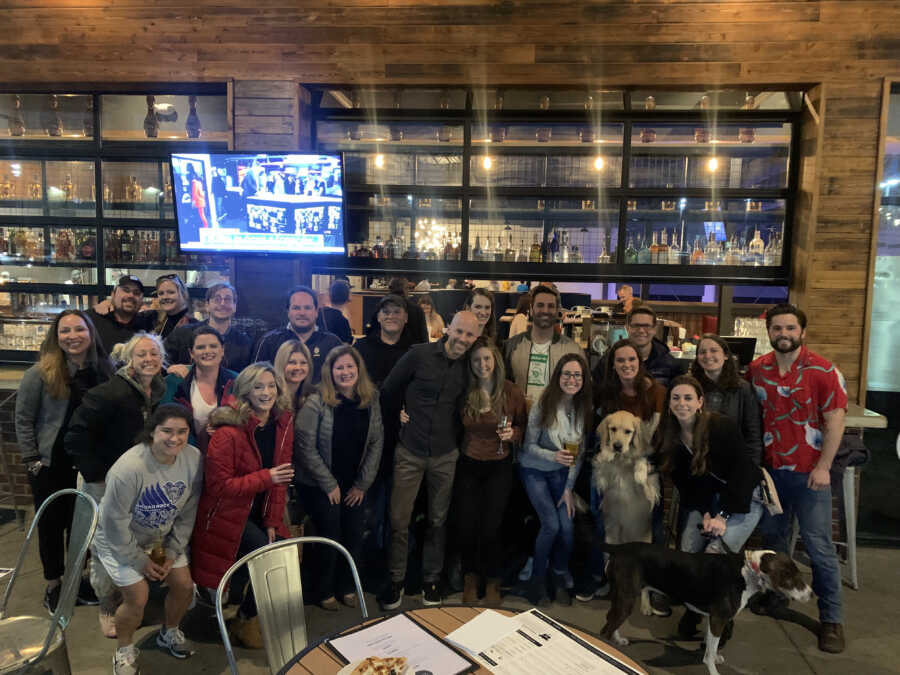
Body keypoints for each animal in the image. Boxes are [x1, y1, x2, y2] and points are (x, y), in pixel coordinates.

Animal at [596, 544, 816, 675]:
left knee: (611, 620)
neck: (748, 572)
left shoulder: (714, 619)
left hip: (623, 597)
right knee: (606, 628)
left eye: (799, 575)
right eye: (792, 579)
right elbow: (709, 654)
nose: (813, 594)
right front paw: (713, 669)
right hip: (626, 599)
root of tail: (618, 548)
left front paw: (715, 655)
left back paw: (618, 641)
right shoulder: (719, 619)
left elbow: (712, 646)